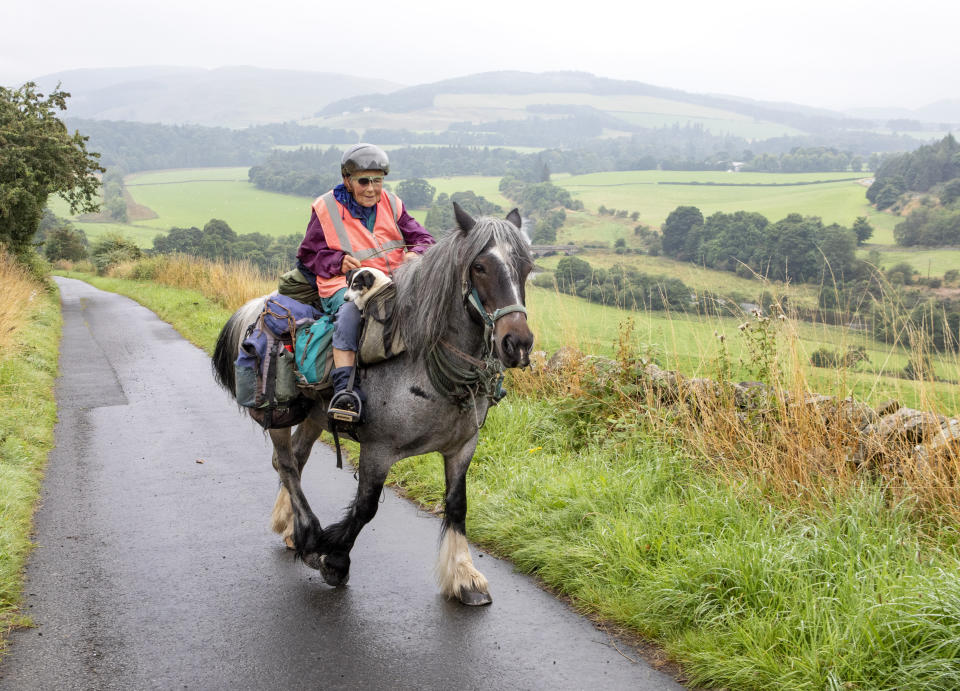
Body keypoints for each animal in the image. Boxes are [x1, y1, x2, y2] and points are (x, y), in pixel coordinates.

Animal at [211, 203, 536, 604]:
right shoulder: (378, 451)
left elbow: (458, 504)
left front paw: (464, 576)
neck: (421, 363)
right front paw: (334, 558)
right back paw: (308, 534)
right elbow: (365, 507)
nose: (517, 344)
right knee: (285, 465)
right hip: (279, 417)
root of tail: (260, 306)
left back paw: (291, 530)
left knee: (296, 462)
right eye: (479, 266)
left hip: (314, 416)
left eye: (526, 267)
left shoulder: (462, 447)